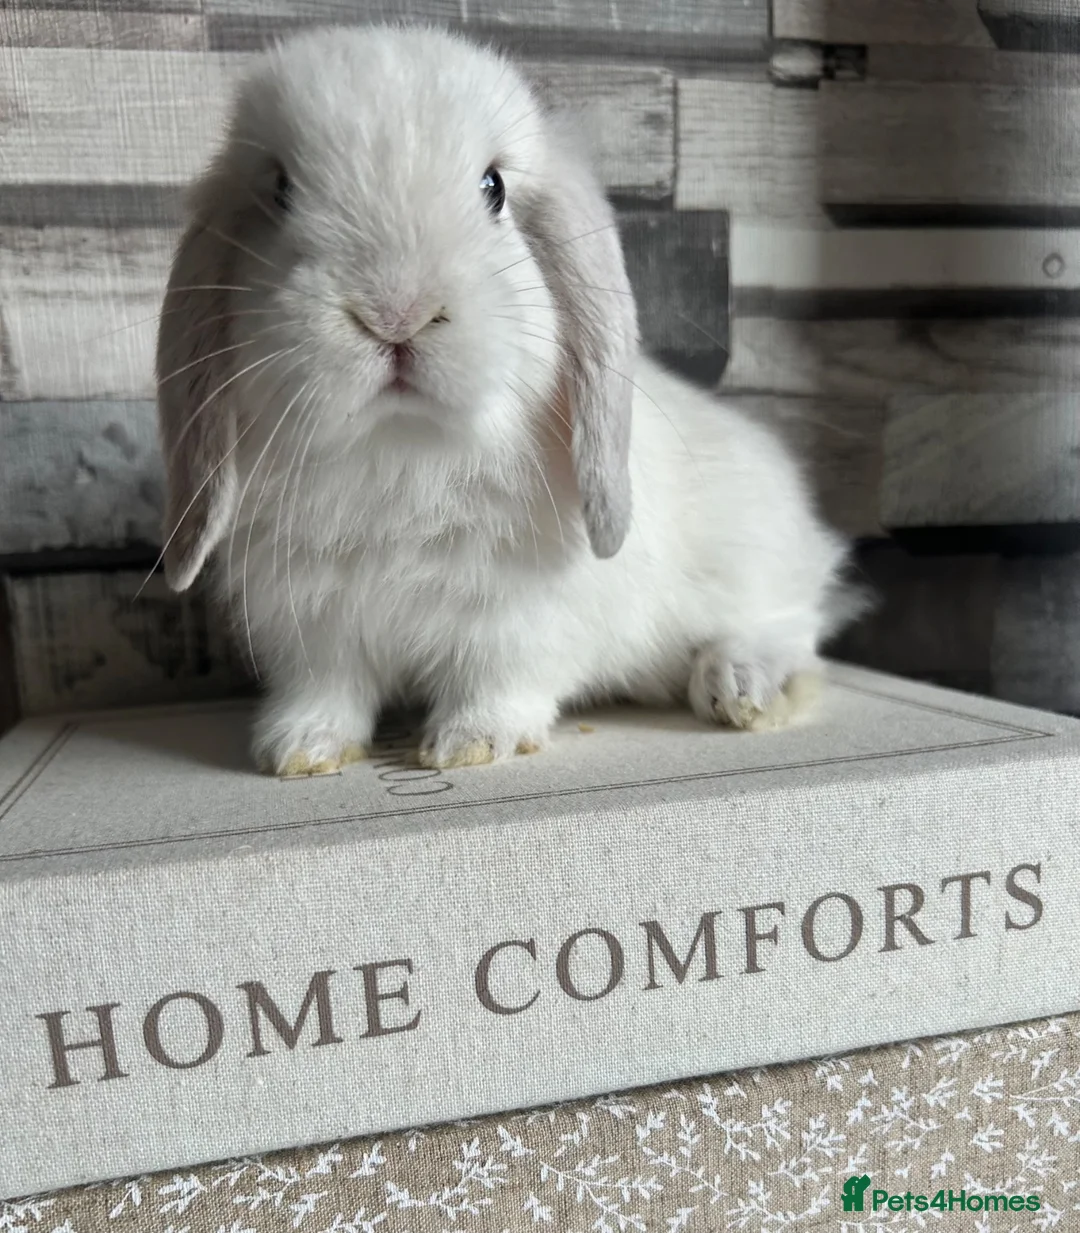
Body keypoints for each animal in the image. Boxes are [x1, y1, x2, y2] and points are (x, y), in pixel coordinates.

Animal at [156, 23, 862, 775]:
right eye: (281, 191)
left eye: (493, 189)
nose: (396, 313)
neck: (402, 447)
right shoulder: (313, 624)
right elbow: (329, 688)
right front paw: (299, 749)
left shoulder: (519, 619)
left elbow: (496, 679)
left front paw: (470, 743)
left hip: (757, 558)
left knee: (794, 627)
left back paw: (742, 684)